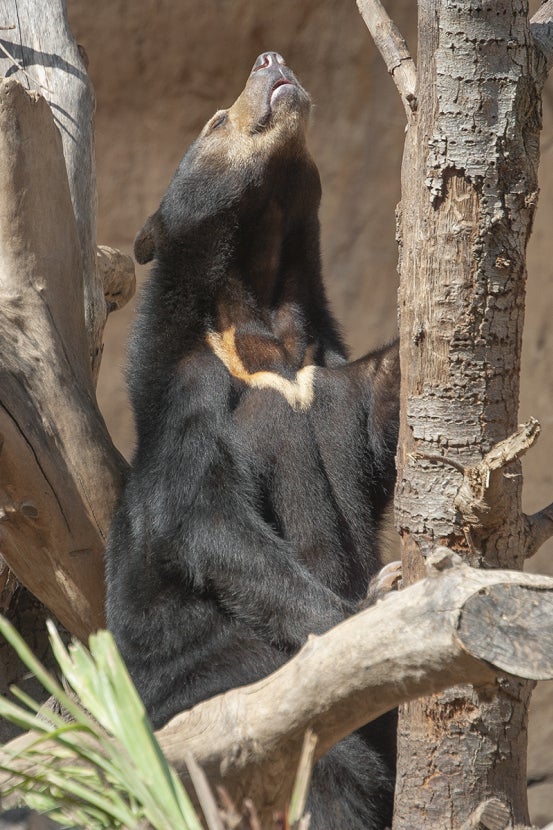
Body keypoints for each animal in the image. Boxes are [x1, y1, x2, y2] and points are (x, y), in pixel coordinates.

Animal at [105, 51, 399, 830]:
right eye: (215, 120)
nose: (271, 60)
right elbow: (207, 522)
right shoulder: (189, 399)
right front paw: (364, 609)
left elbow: (380, 404)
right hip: (218, 685)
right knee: (329, 765)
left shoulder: (329, 379)